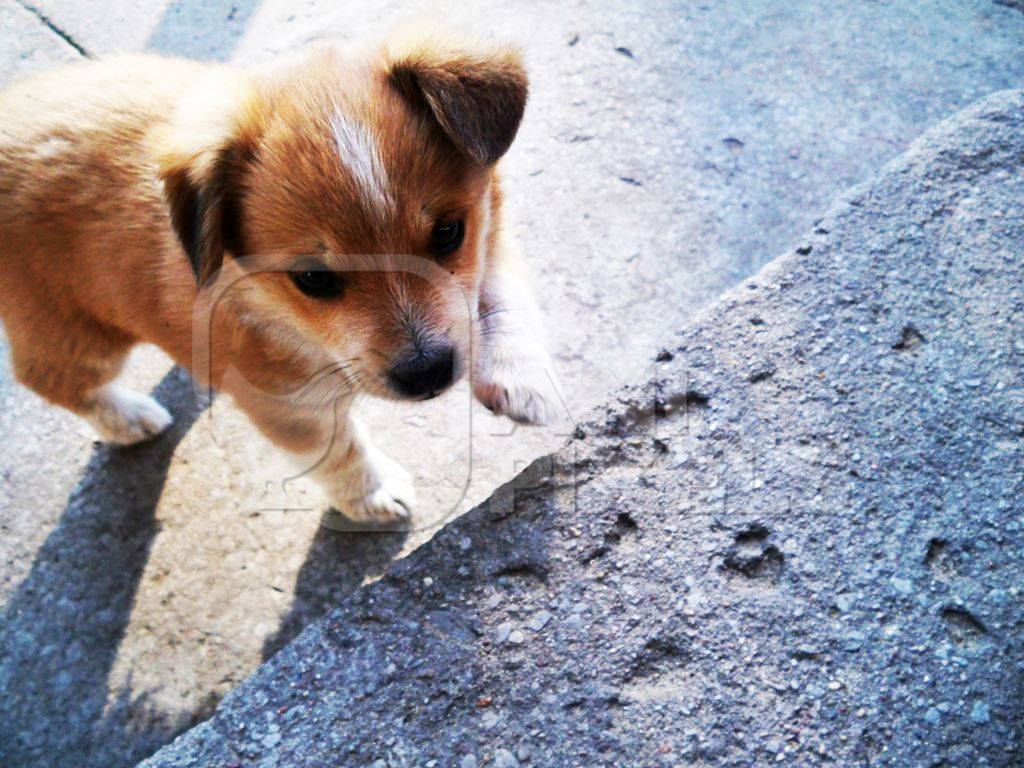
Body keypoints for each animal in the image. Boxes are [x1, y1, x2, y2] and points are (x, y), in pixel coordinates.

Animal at [0, 30, 561, 524]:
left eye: (447, 233)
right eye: (312, 278)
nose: (428, 373)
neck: (275, 310)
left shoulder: (489, 234)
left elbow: (500, 297)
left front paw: (521, 377)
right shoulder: (288, 407)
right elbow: (340, 455)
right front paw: (374, 496)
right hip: (76, 333)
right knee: (51, 379)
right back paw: (129, 418)